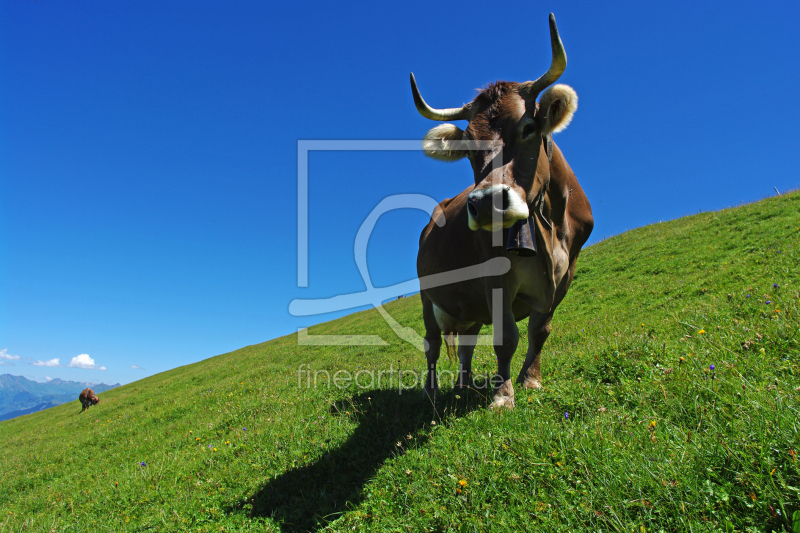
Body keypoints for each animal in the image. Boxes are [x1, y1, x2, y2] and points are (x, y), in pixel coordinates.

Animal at [416, 15, 592, 408]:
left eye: (528, 127)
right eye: (468, 148)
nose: (484, 203)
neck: (548, 225)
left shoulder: (565, 276)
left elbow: (540, 330)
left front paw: (531, 380)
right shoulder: (494, 279)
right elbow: (506, 337)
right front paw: (502, 395)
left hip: (468, 307)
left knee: (465, 345)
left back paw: (464, 386)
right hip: (427, 296)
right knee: (432, 345)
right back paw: (432, 394)